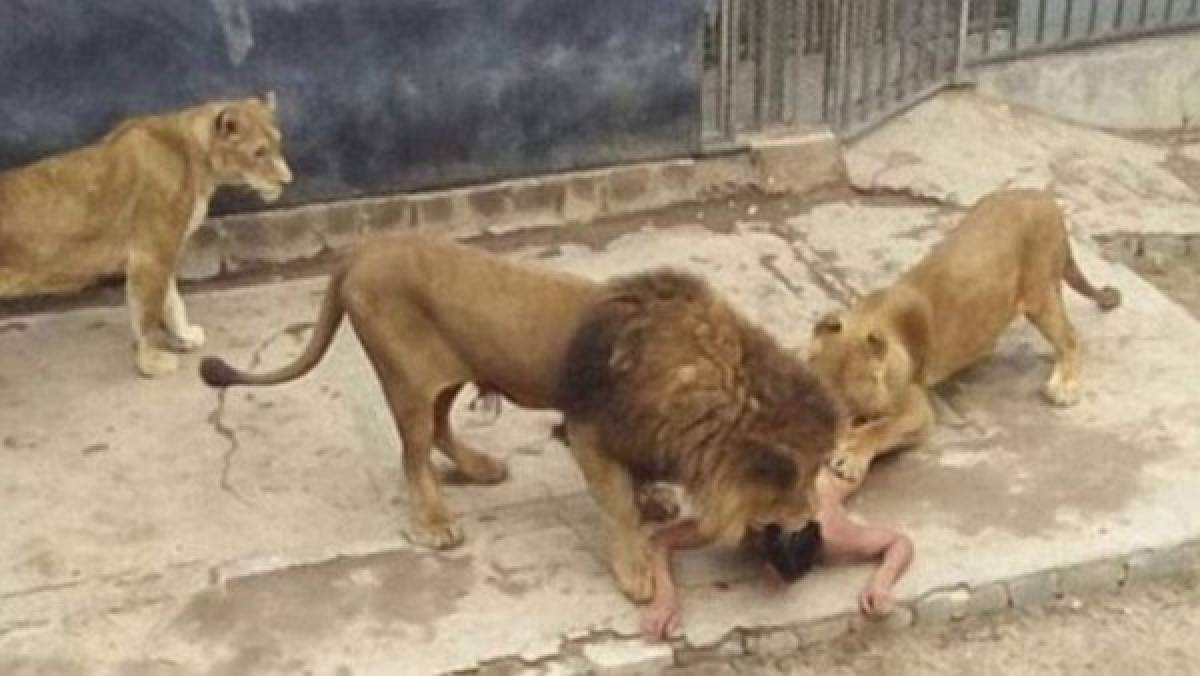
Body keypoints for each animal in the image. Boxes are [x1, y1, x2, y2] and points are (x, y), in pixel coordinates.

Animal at [0, 94, 290, 379]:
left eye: (278, 144)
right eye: (259, 152)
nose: (288, 181)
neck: (197, 158)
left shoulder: (164, 248)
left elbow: (172, 302)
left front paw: (184, 337)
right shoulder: (150, 254)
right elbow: (148, 314)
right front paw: (153, 362)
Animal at [806, 190, 1123, 487]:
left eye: (851, 402)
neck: (866, 321)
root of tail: (1046, 199)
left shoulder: (917, 408)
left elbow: (880, 428)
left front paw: (851, 455)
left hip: (1038, 293)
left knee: (1069, 337)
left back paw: (1065, 385)